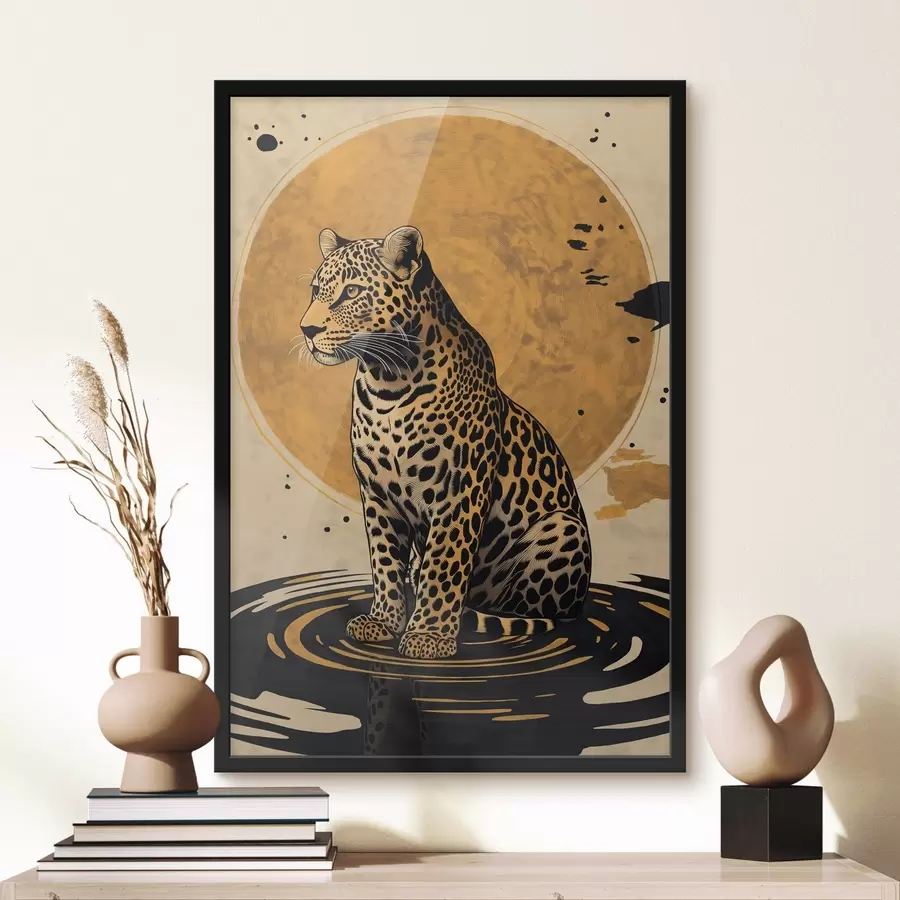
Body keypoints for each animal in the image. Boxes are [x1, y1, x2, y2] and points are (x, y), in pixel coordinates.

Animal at [299, 225, 592, 660]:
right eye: (316, 290)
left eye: (351, 292)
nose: (307, 330)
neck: (388, 380)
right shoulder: (377, 494)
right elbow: (384, 561)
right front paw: (384, 623)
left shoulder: (458, 491)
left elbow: (444, 564)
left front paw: (429, 635)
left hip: (563, 528)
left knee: (526, 610)